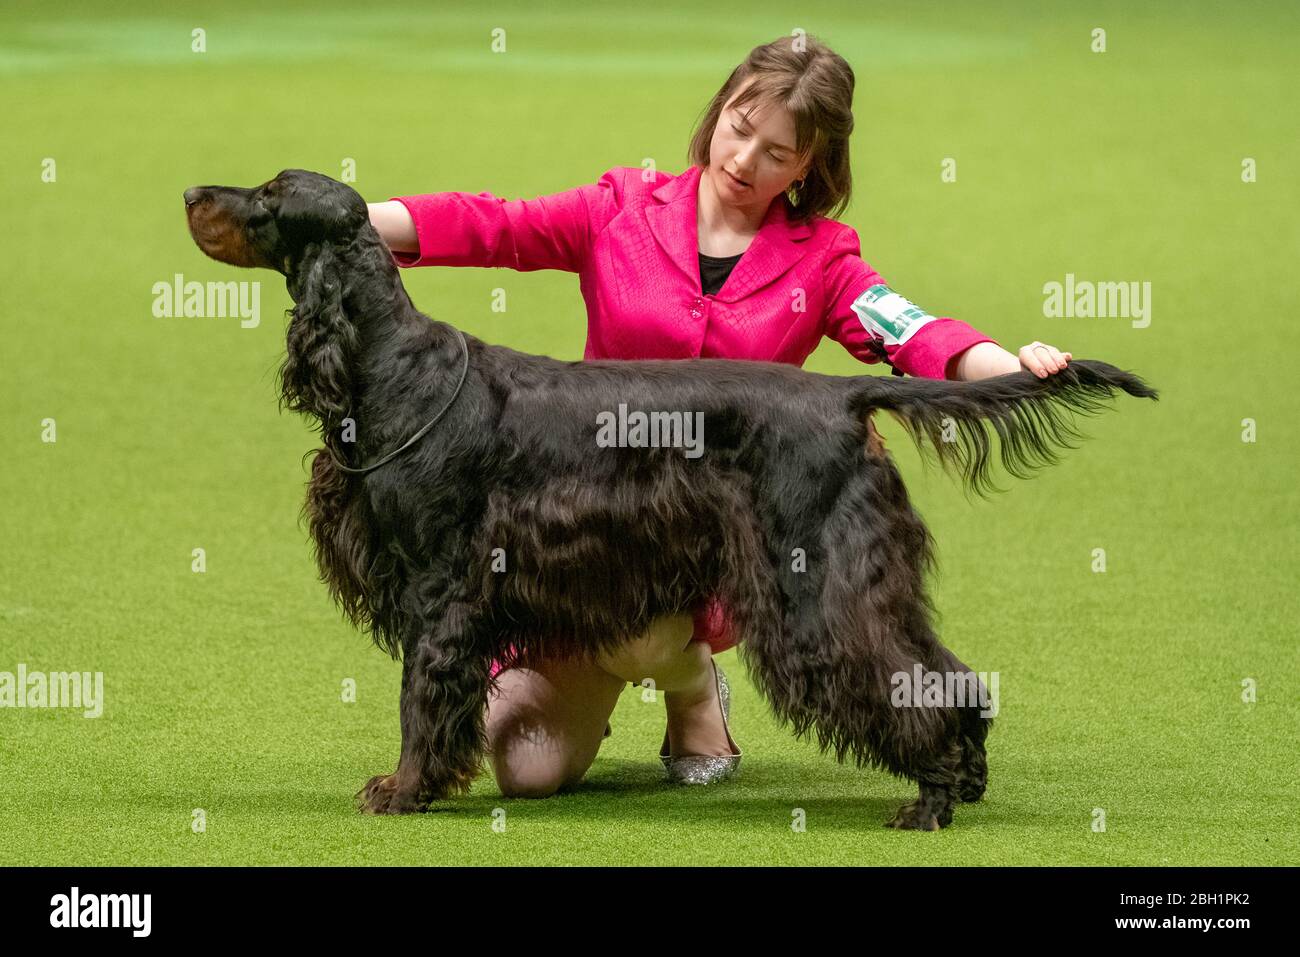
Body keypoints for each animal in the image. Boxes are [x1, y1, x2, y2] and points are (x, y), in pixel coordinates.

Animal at [183, 167, 1159, 826]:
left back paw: (929, 798)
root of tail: (845, 395)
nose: (193, 190)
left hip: (814, 583)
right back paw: (962, 781)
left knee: (906, 673)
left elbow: (420, 696)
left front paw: (404, 787)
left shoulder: (438, 586)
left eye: (269, 194)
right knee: (943, 668)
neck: (388, 362)